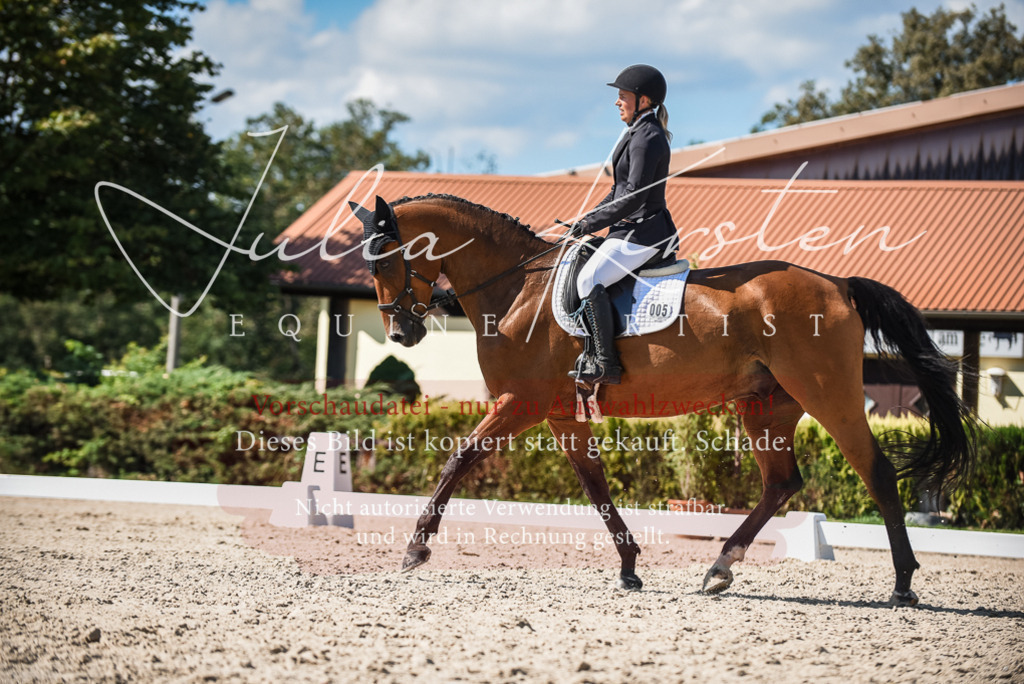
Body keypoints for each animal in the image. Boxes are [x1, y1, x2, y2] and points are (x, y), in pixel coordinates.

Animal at [352, 193, 976, 607]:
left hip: (828, 394)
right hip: (767, 405)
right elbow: (595, 485)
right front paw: (629, 568)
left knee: (875, 471)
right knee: (781, 483)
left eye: (385, 258)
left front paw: (415, 551)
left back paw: (902, 585)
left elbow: (458, 459)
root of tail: (840, 284)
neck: (515, 288)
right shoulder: (560, 413)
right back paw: (720, 568)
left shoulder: (520, 402)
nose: (402, 333)